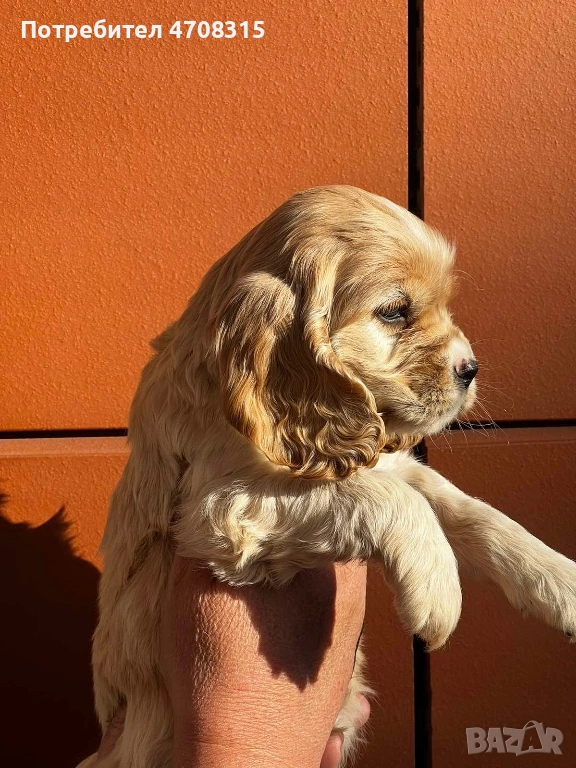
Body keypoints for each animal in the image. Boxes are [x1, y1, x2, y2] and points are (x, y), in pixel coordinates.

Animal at [82, 185, 576, 767]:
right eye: (394, 312)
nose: (470, 368)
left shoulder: (397, 465)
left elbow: (470, 511)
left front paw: (561, 580)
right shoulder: (221, 506)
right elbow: (375, 495)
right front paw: (437, 588)